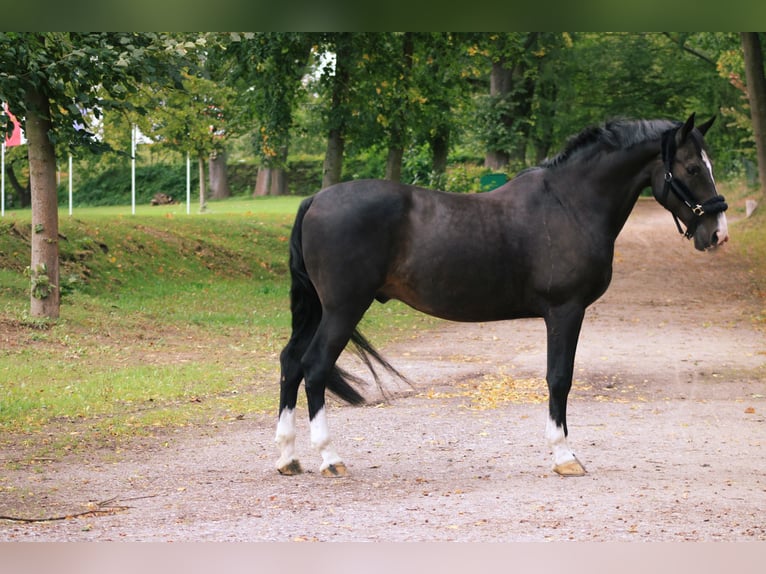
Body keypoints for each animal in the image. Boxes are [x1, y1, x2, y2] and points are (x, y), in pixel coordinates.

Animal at [274, 115, 728, 480]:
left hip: (322, 310)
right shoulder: (565, 311)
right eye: (691, 167)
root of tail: (315, 200)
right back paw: (329, 458)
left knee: (291, 363)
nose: (718, 234)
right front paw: (564, 456)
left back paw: (287, 459)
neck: (569, 203)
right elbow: (559, 377)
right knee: (314, 367)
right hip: (343, 310)